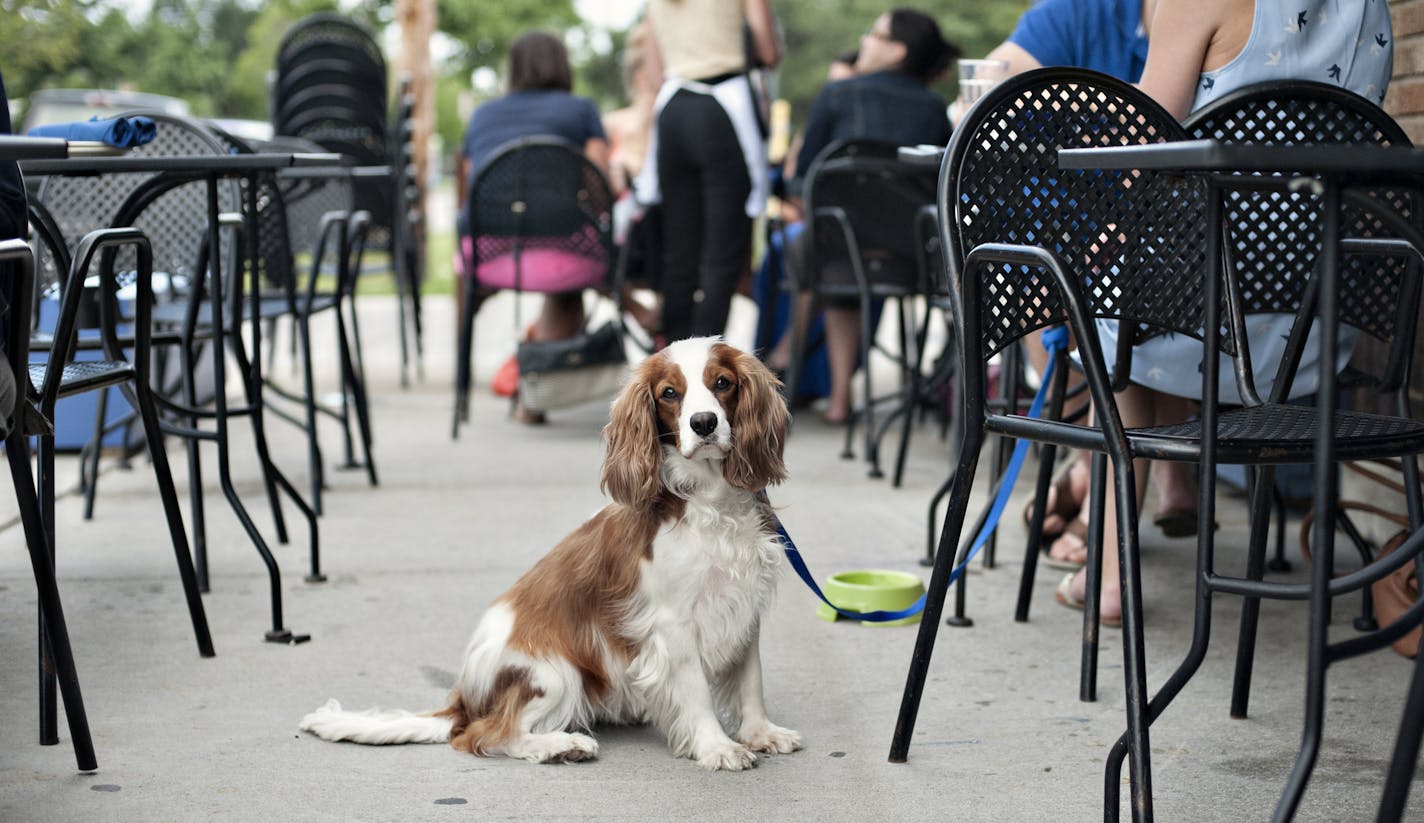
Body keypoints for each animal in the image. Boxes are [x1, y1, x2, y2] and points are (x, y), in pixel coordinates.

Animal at [301, 334, 808, 768]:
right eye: (669, 393)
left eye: (722, 383)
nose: (703, 424)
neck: (710, 500)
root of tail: (465, 697)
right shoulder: (673, 623)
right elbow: (698, 691)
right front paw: (717, 747)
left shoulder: (743, 607)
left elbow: (751, 681)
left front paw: (760, 733)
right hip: (553, 672)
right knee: (487, 736)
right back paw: (561, 745)